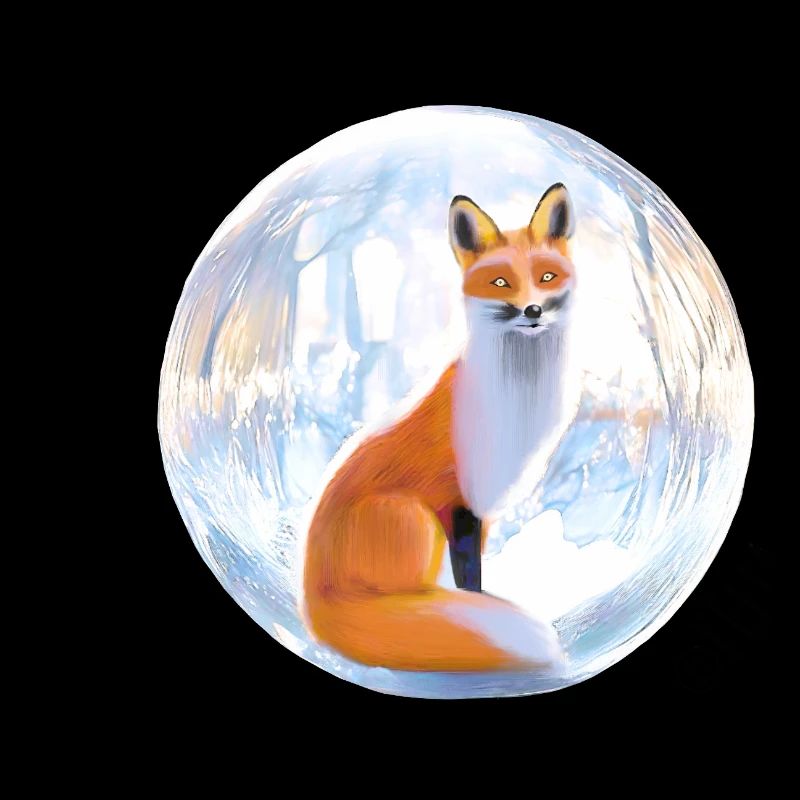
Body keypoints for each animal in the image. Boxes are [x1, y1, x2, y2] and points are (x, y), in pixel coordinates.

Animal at [301, 183, 579, 672]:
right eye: (500, 282)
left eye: (546, 277)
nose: (532, 310)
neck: (520, 396)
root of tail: (316, 602)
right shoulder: (458, 499)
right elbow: (469, 582)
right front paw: (474, 614)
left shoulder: (483, 507)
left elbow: (471, 578)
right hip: (412, 516)